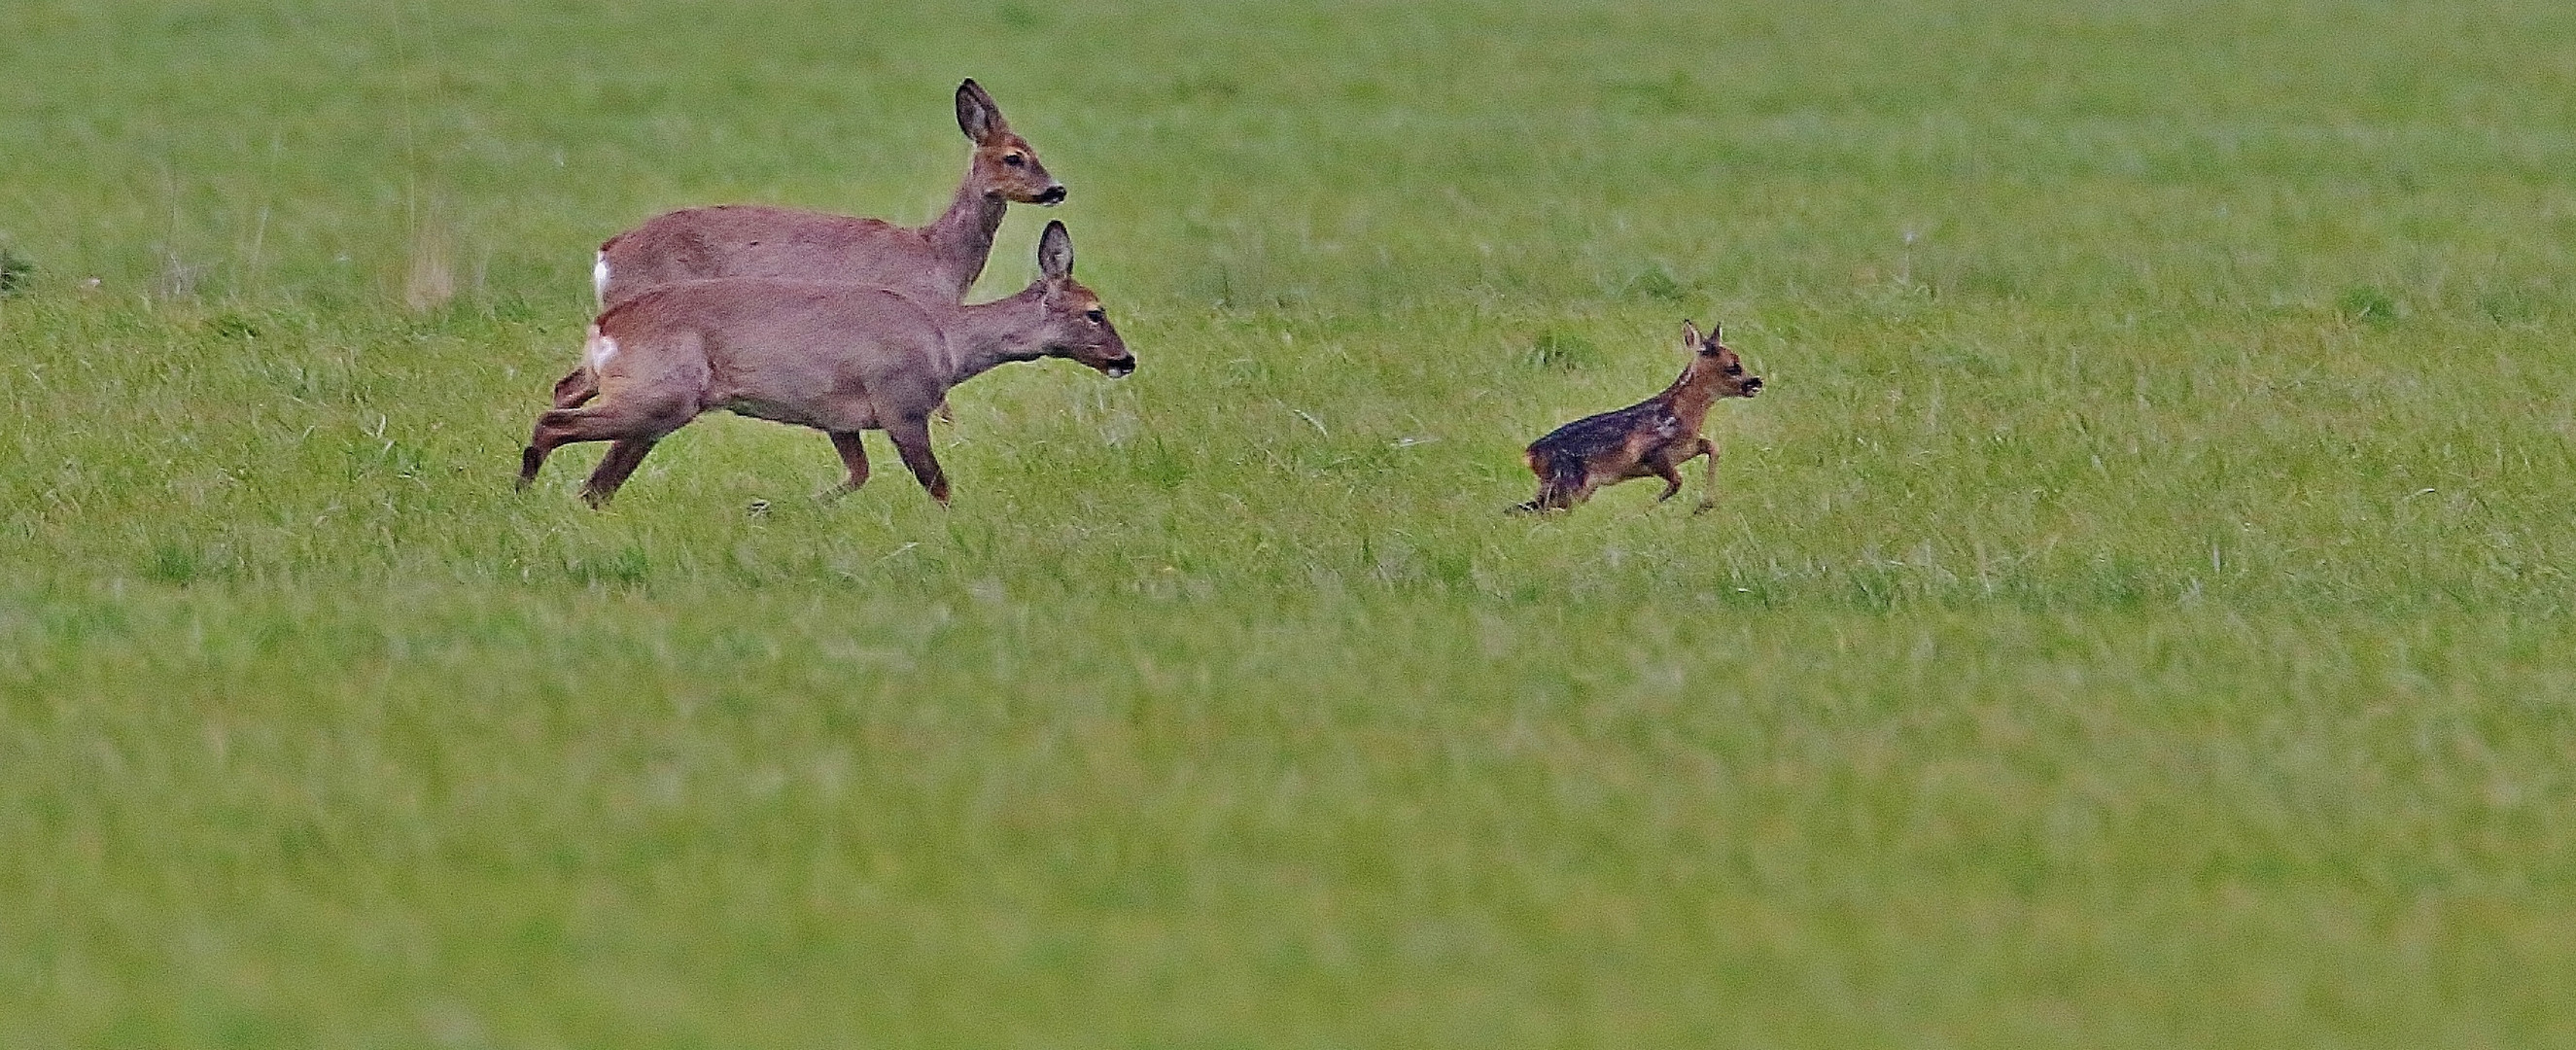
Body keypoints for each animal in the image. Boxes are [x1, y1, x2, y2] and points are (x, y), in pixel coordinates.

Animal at [517, 220, 1133, 507]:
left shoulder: (840, 420)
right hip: (660, 397)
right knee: (553, 426)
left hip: (651, 404)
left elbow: (855, 476)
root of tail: (605, 327)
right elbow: (937, 486)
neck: (947, 343)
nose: (1126, 359)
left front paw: (768, 508)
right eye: (1096, 312)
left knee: (592, 473)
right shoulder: (902, 405)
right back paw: (521, 498)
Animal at [1514, 321, 1761, 514]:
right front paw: (1649, 507)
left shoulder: (1688, 447)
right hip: (1568, 484)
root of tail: (1529, 455)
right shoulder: (1651, 454)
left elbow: (1713, 447)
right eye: (1733, 367)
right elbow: (1677, 481)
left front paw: (1705, 504)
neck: (1680, 414)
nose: (1757, 382)